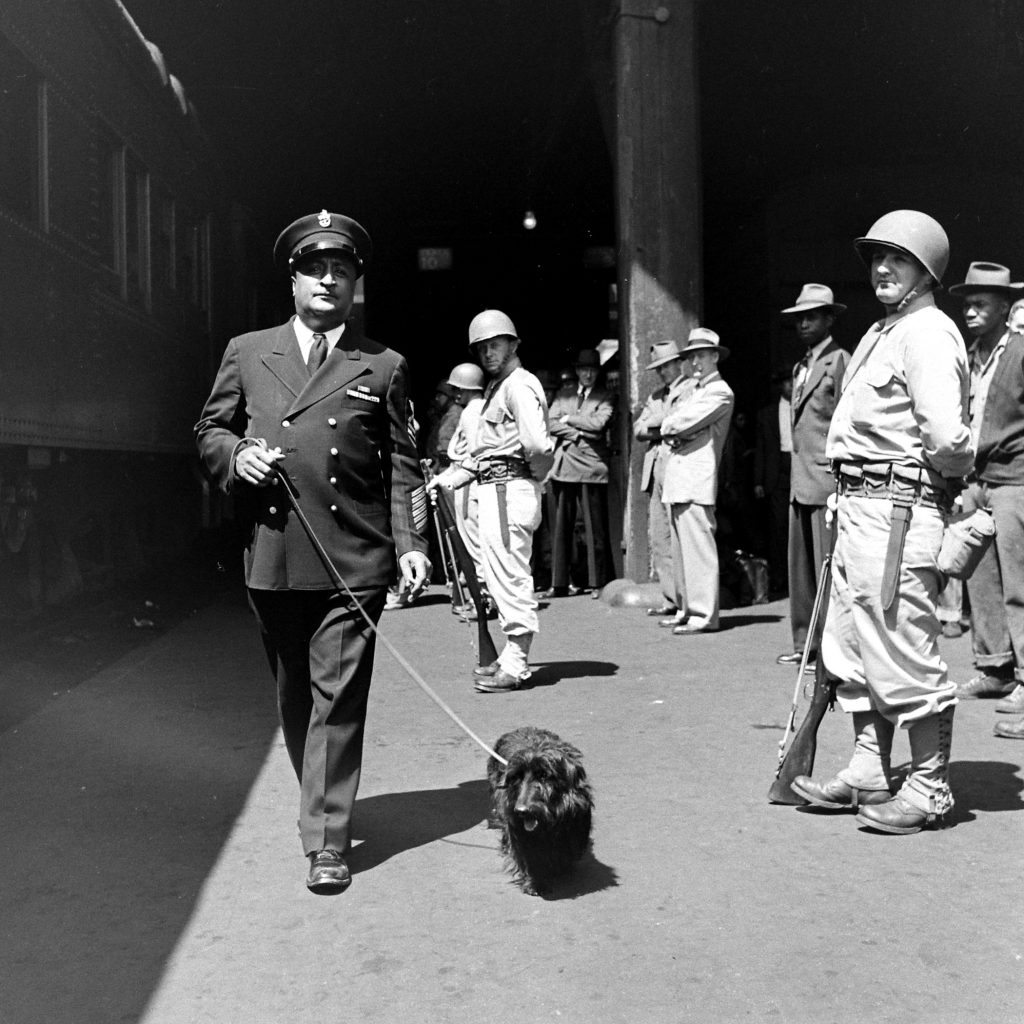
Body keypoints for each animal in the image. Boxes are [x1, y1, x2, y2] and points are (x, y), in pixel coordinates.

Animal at [485, 724, 593, 892]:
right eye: (516, 777)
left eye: (543, 775)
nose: (521, 811)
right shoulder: (519, 831)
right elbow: (529, 856)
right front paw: (534, 883)